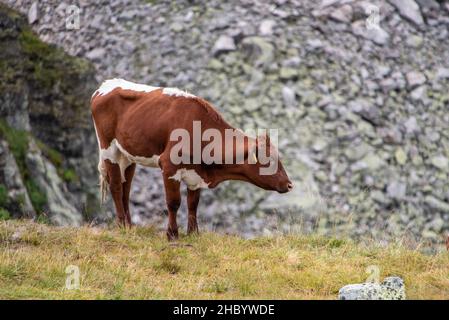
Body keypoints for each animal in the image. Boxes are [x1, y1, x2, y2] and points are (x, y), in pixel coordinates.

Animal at [92, 79, 294, 240]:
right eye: (268, 161)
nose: (290, 184)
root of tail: (105, 85)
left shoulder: (196, 173)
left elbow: (193, 203)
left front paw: (193, 233)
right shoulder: (169, 166)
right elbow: (174, 202)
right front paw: (172, 234)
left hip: (128, 156)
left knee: (126, 188)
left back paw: (129, 225)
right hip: (108, 149)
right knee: (116, 186)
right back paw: (121, 226)